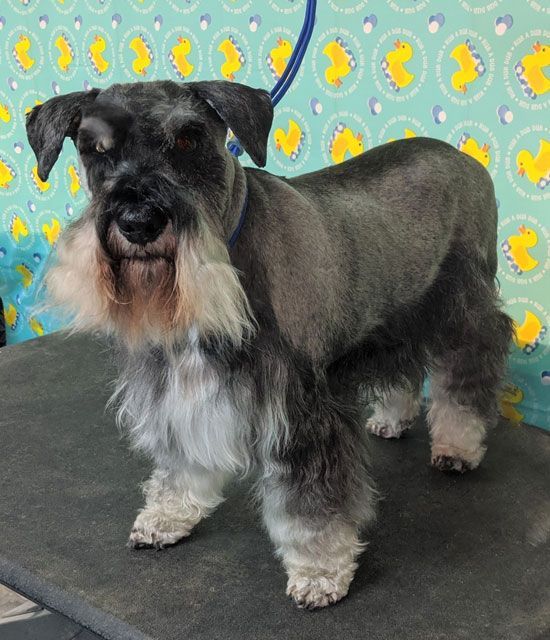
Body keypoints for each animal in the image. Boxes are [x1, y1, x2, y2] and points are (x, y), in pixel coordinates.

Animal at [27, 81, 512, 608]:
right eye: (95, 149)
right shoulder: (178, 385)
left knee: (465, 374)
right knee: (401, 369)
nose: (138, 222)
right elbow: (179, 462)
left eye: (188, 140)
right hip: (388, 317)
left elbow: (311, 506)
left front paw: (319, 572)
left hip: (460, 306)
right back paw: (390, 417)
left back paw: (458, 445)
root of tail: (465, 157)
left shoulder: (300, 412)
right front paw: (168, 516)